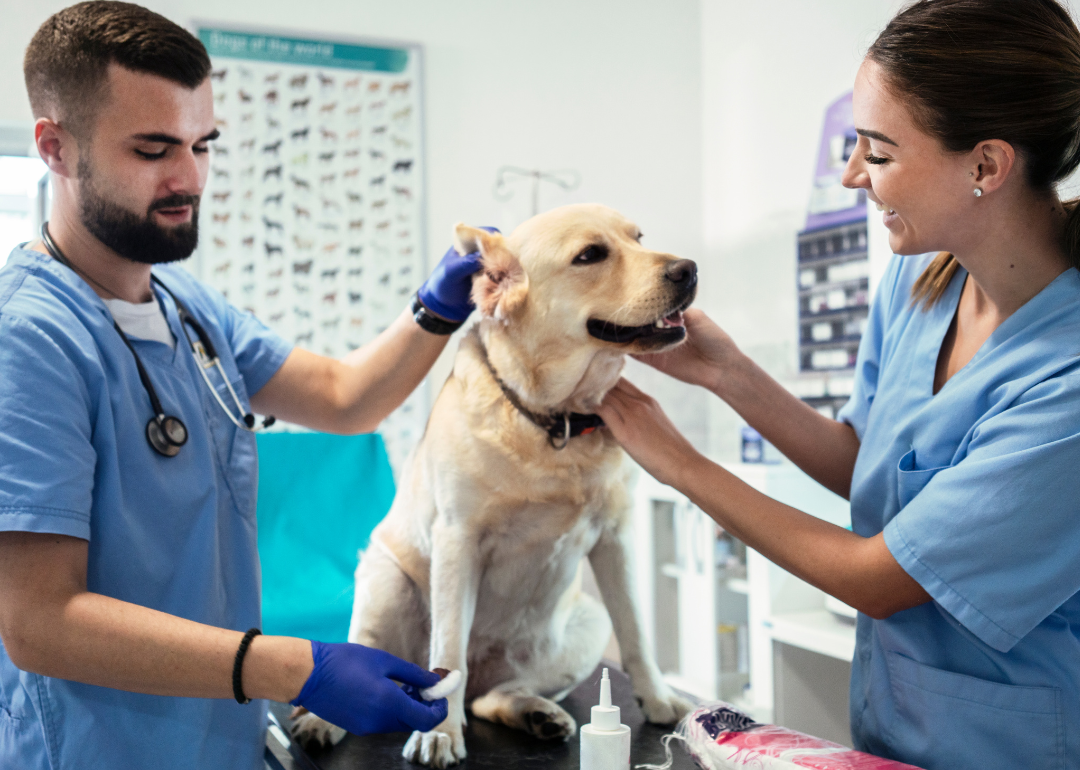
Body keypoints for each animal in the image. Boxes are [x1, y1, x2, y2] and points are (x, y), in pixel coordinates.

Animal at [291, 203, 695, 764]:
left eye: (639, 237)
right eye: (590, 255)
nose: (688, 269)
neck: (553, 422)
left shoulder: (617, 538)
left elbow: (637, 632)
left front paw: (657, 697)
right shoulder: (457, 539)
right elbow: (447, 655)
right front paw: (440, 733)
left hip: (586, 623)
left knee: (490, 697)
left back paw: (534, 712)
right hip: (384, 581)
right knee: (378, 668)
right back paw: (327, 715)